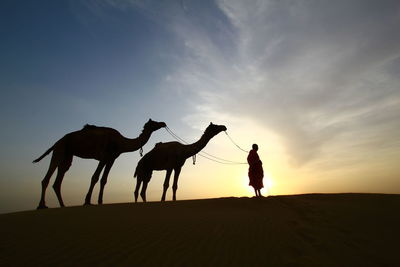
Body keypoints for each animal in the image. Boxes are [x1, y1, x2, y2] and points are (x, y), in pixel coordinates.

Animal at [32, 119, 166, 209]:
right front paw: (87, 201)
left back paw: (62, 205)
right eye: (154, 123)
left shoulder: (111, 159)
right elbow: (95, 177)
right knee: (47, 177)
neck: (120, 142)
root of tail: (56, 142)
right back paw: (41, 205)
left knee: (58, 179)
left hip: (68, 156)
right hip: (60, 150)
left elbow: (104, 180)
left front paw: (100, 201)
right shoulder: (104, 157)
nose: (163, 123)